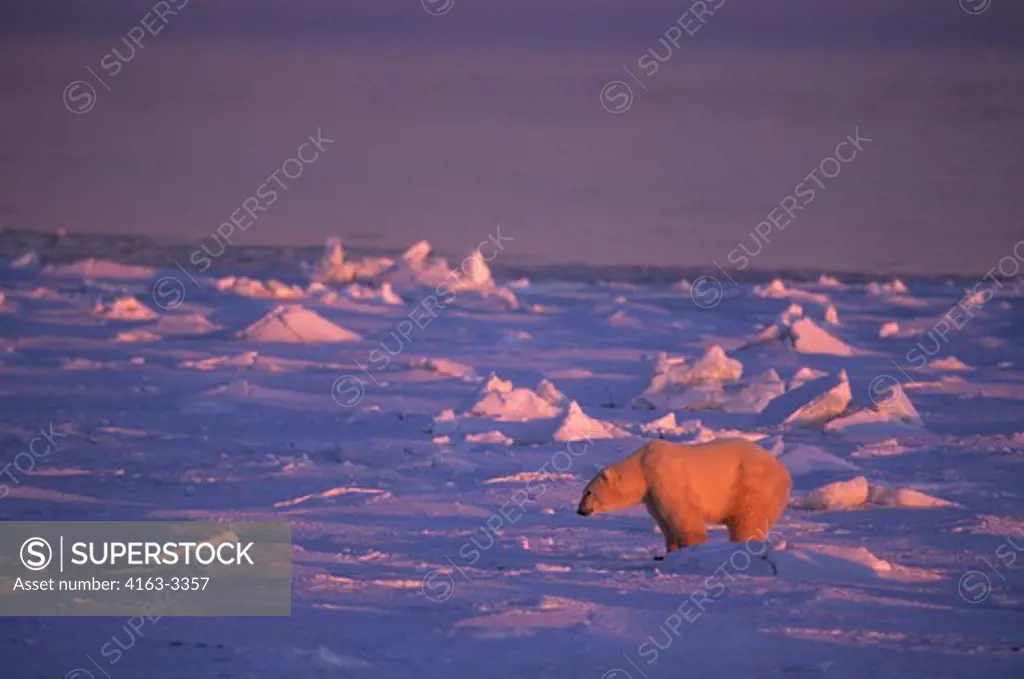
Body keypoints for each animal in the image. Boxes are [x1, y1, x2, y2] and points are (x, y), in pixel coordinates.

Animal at [577, 438, 790, 557]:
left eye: (588, 492)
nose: (580, 510)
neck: (642, 467)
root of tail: (783, 471)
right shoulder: (651, 495)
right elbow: (664, 521)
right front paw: (670, 550)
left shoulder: (665, 476)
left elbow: (682, 514)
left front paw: (692, 547)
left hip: (752, 486)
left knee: (748, 521)